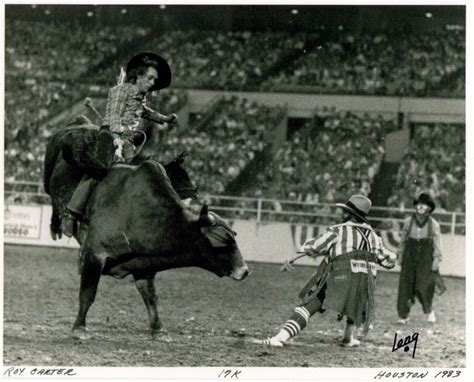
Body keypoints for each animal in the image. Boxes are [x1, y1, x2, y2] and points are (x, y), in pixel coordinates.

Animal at [44, 118, 250, 338]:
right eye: (223, 240)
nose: (244, 270)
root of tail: (83, 122)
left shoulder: (144, 265)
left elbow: (150, 298)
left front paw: (158, 329)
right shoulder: (94, 254)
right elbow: (88, 294)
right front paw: (80, 328)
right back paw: (58, 224)